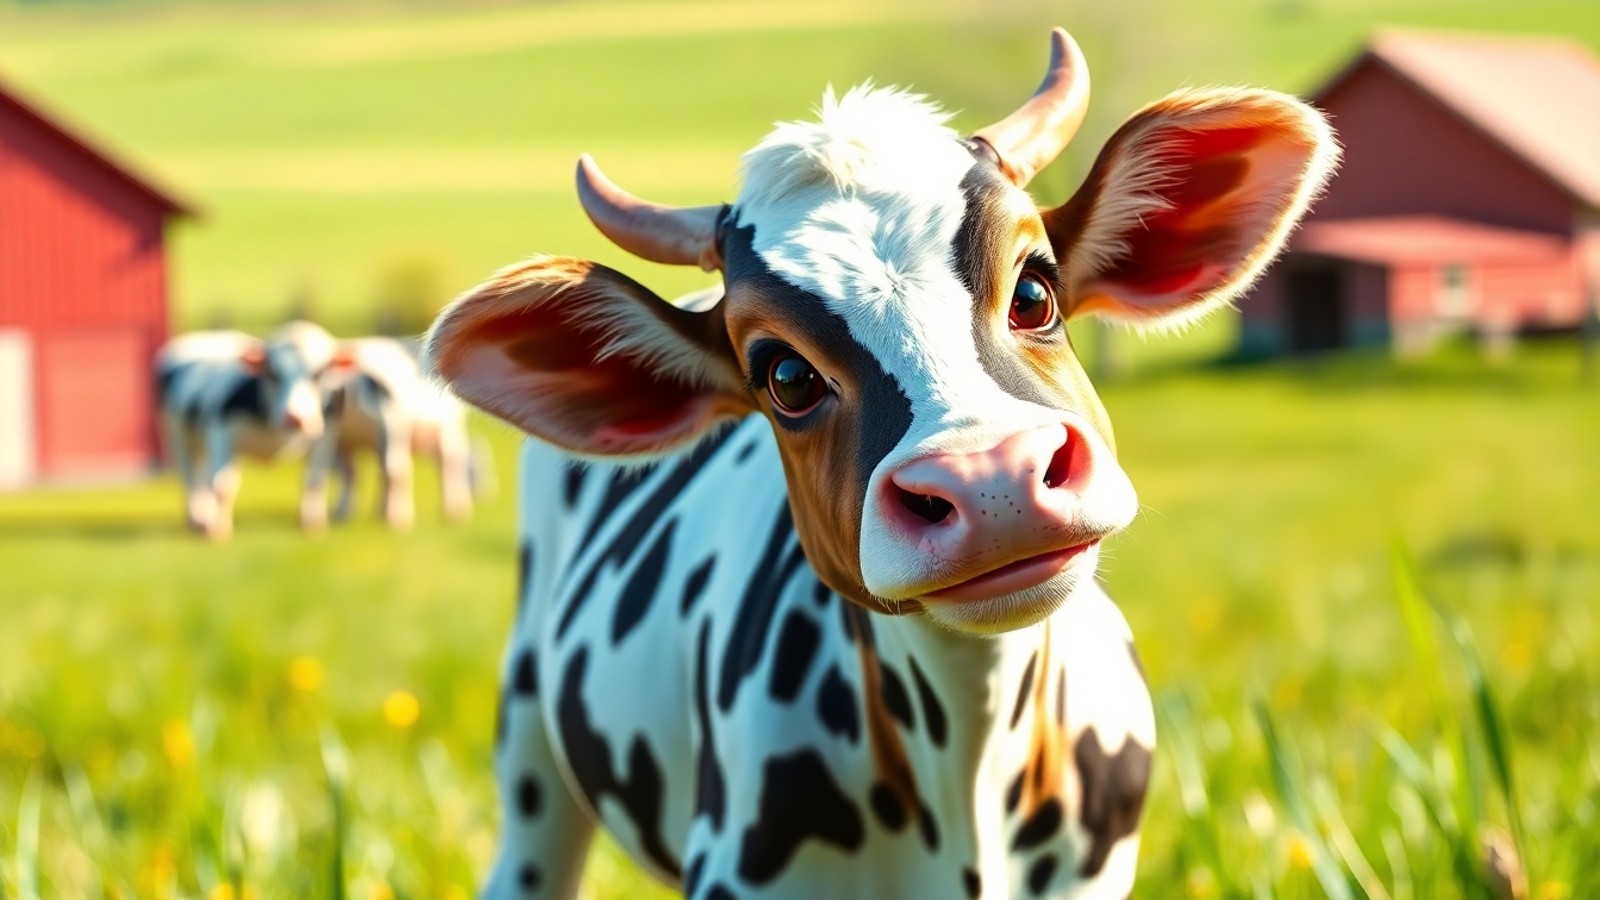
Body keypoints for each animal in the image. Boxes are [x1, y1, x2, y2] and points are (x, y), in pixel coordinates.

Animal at [156, 320, 342, 540]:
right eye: (273, 374)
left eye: (318, 374)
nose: (294, 418)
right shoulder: (221, 431)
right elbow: (224, 485)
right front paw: (218, 531)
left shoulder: (327, 433)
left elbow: (314, 480)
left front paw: (313, 525)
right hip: (176, 433)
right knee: (189, 476)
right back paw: (196, 520)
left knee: (203, 475)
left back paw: (203, 519)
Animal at [301, 336, 477, 531]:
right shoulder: (340, 441)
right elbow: (342, 473)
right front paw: (337, 516)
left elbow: (390, 472)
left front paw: (396, 520)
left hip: (445, 430)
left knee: (448, 464)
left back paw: (450, 512)